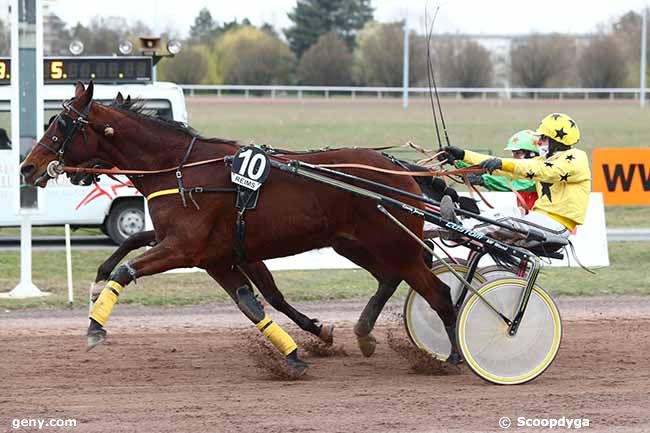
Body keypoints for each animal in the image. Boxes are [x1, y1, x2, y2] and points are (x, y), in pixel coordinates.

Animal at [20, 82, 456, 374]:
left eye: (60, 123)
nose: (28, 167)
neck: (180, 169)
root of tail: (402, 171)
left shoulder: (184, 248)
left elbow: (128, 270)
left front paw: (95, 326)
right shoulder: (215, 255)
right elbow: (254, 303)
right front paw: (299, 350)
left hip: (392, 242)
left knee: (438, 291)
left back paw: (451, 356)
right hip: (356, 244)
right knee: (392, 276)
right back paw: (365, 333)